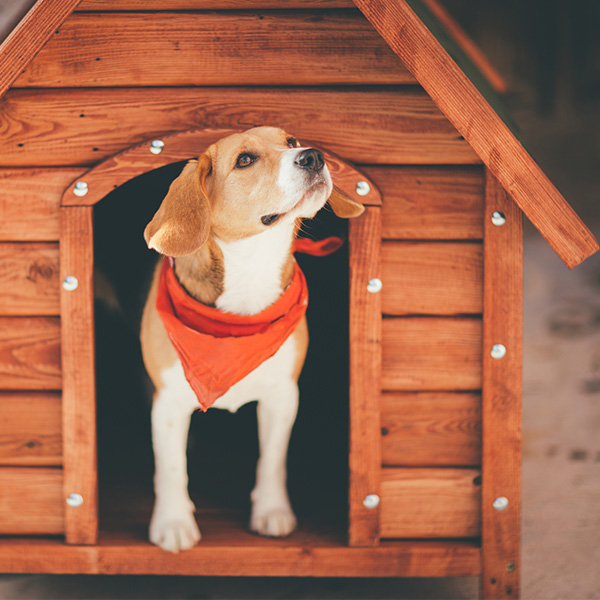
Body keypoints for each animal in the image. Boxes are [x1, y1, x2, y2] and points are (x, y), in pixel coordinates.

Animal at [141, 126, 364, 552]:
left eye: (291, 142)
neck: (252, 271)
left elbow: (273, 458)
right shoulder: (168, 402)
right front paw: (174, 522)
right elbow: (172, 466)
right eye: (245, 160)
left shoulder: (283, 395)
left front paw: (272, 511)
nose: (314, 156)